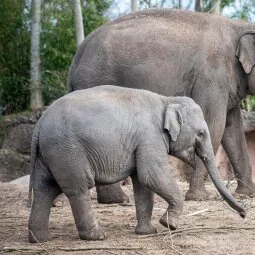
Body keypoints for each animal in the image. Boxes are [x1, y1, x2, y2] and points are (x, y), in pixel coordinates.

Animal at [27, 84, 245, 242]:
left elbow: (142, 183)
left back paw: (40, 239)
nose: (244, 213)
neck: (167, 100)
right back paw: (97, 236)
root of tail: (40, 123)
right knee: (78, 188)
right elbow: (152, 175)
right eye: (201, 133)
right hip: (67, 151)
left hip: (50, 154)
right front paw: (169, 225)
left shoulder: (142, 142)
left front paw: (148, 232)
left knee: (44, 190)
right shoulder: (150, 136)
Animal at [67, 7, 255, 202]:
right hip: (95, 81)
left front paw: (247, 194)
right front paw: (198, 197)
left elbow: (233, 130)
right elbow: (215, 125)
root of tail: (78, 55)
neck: (238, 27)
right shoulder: (212, 76)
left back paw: (115, 200)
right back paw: (119, 200)